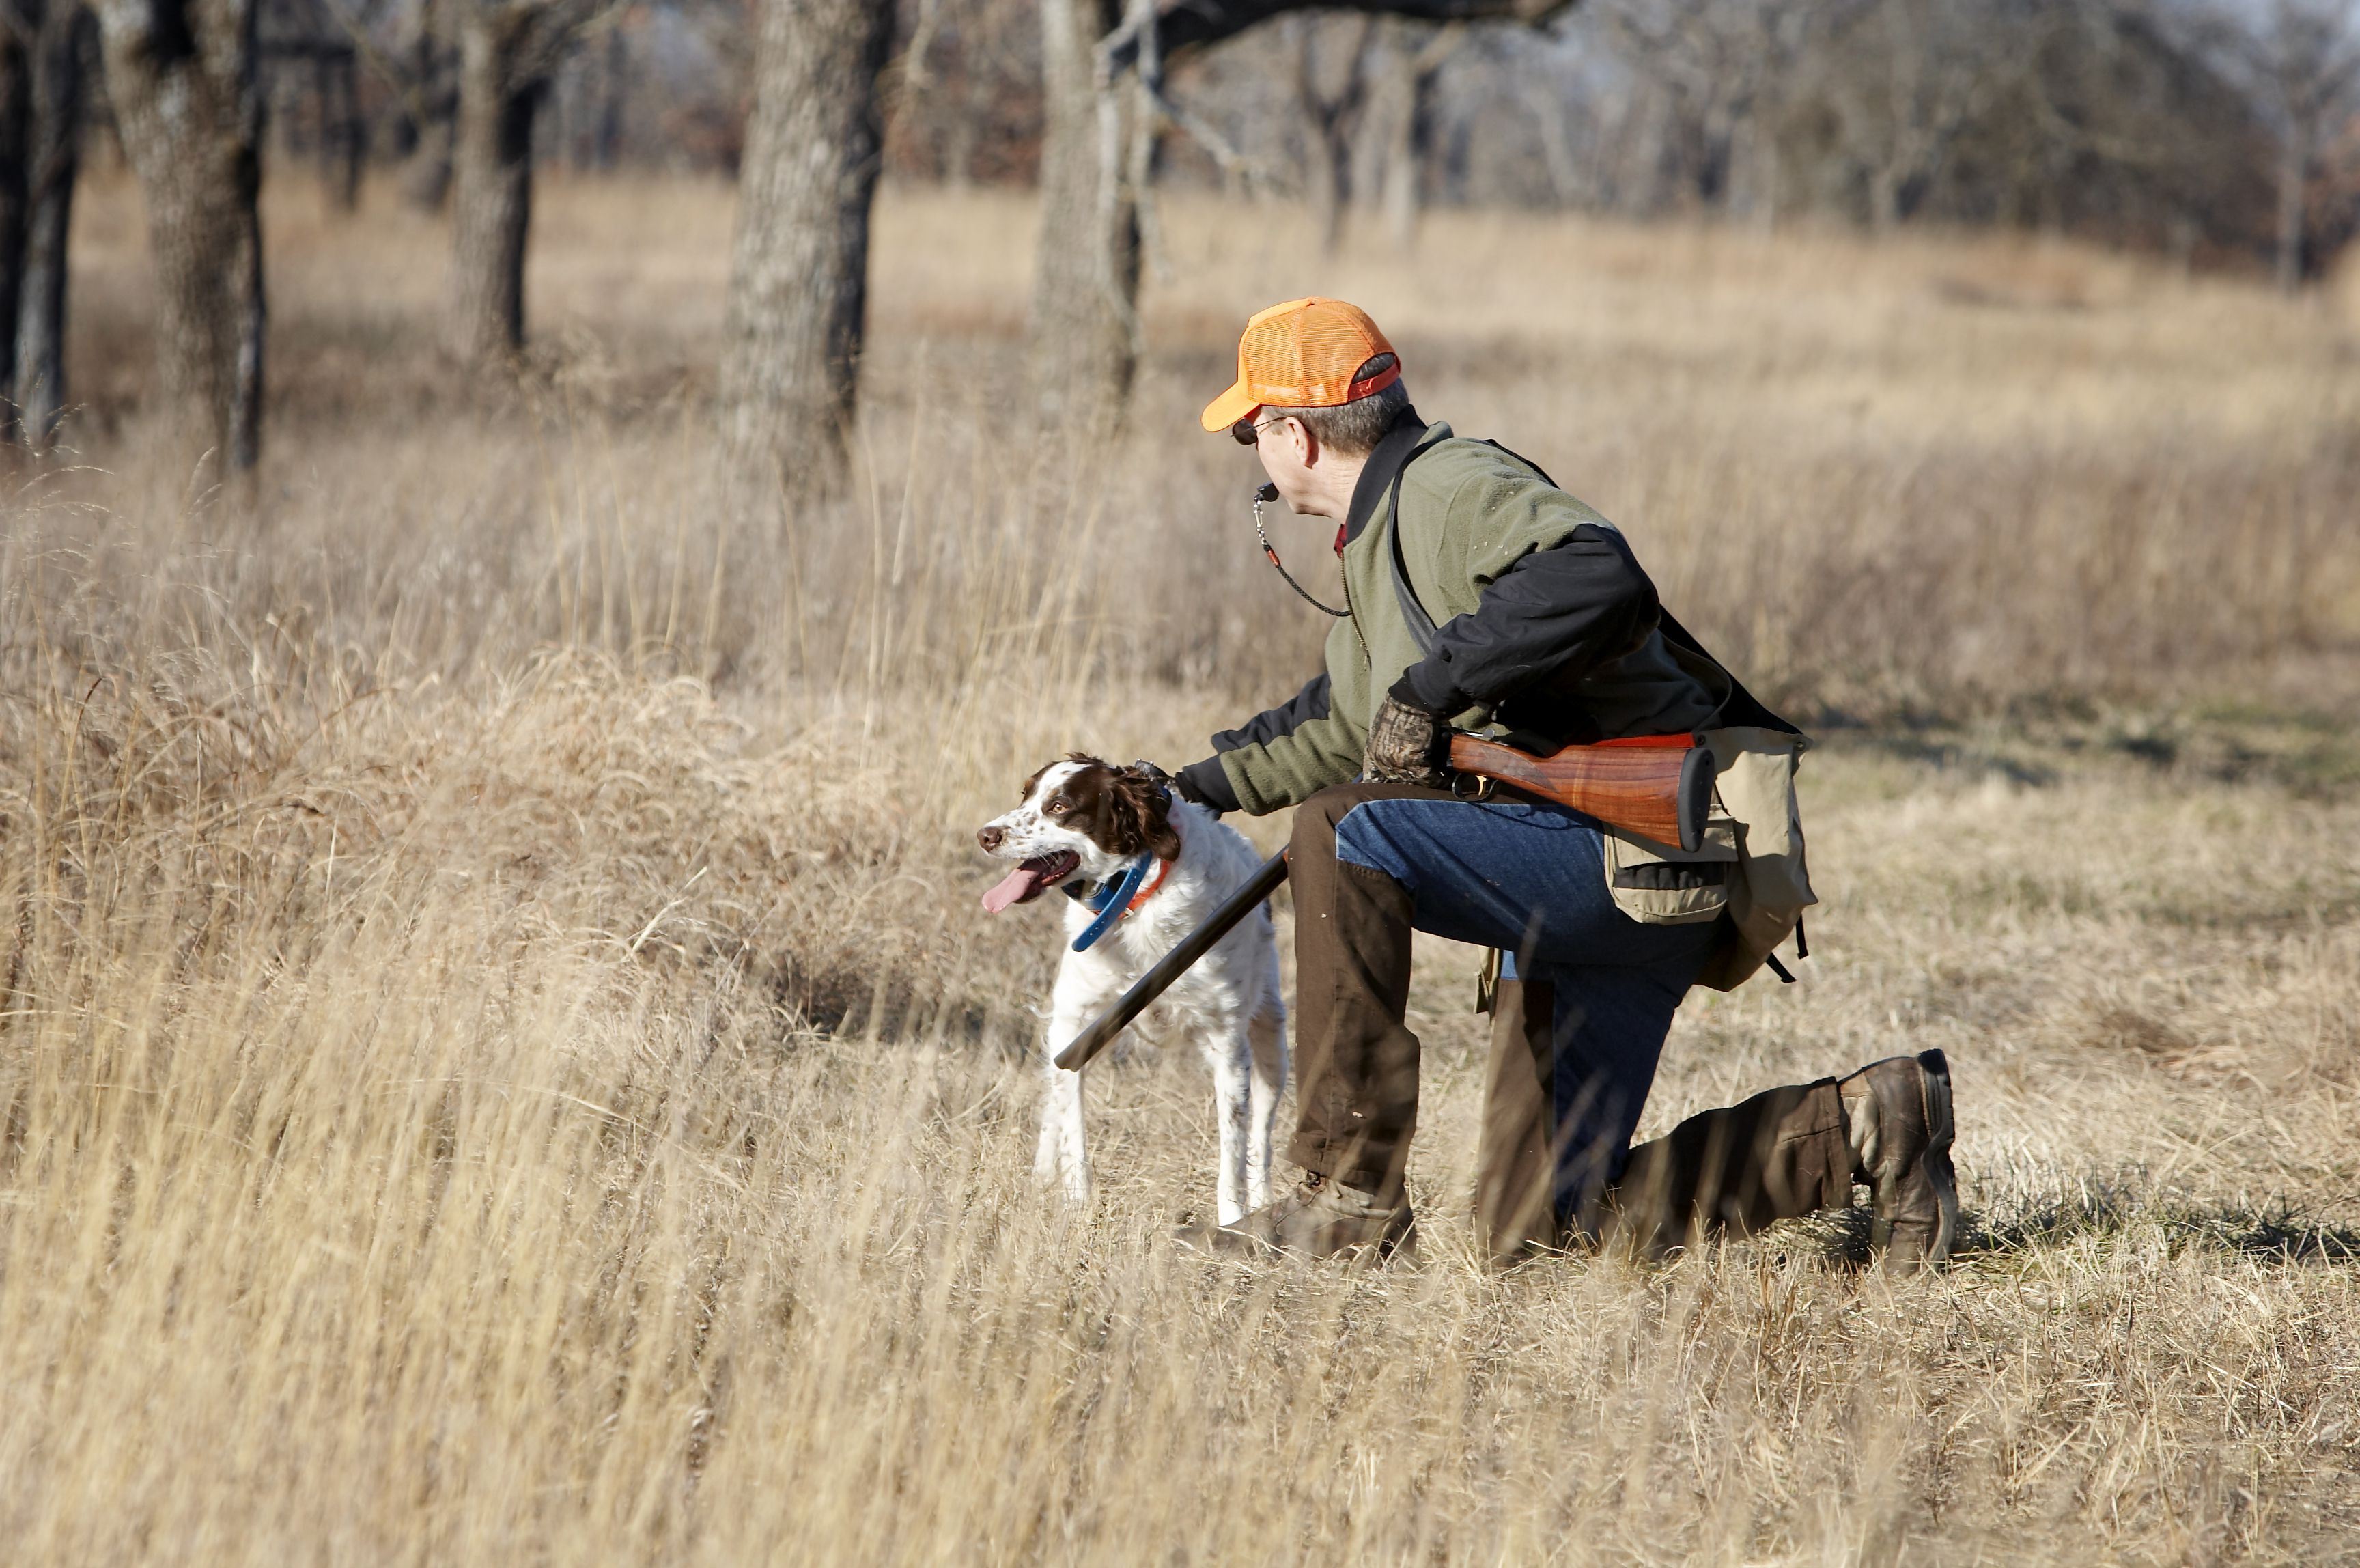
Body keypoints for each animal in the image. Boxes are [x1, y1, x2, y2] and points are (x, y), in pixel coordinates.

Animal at [977, 755, 1293, 1218]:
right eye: (1025, 795)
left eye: (1059, 807)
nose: (986, 835)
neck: (1133, 898)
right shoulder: (1074, 1026)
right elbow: (1071, 1125)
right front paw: (1076, 1204)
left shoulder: (1228, 1041)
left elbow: (1234, 1145)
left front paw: (1233, 1218)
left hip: (1271, 1038)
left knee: (1261, 1139)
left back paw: (1263, 1202)